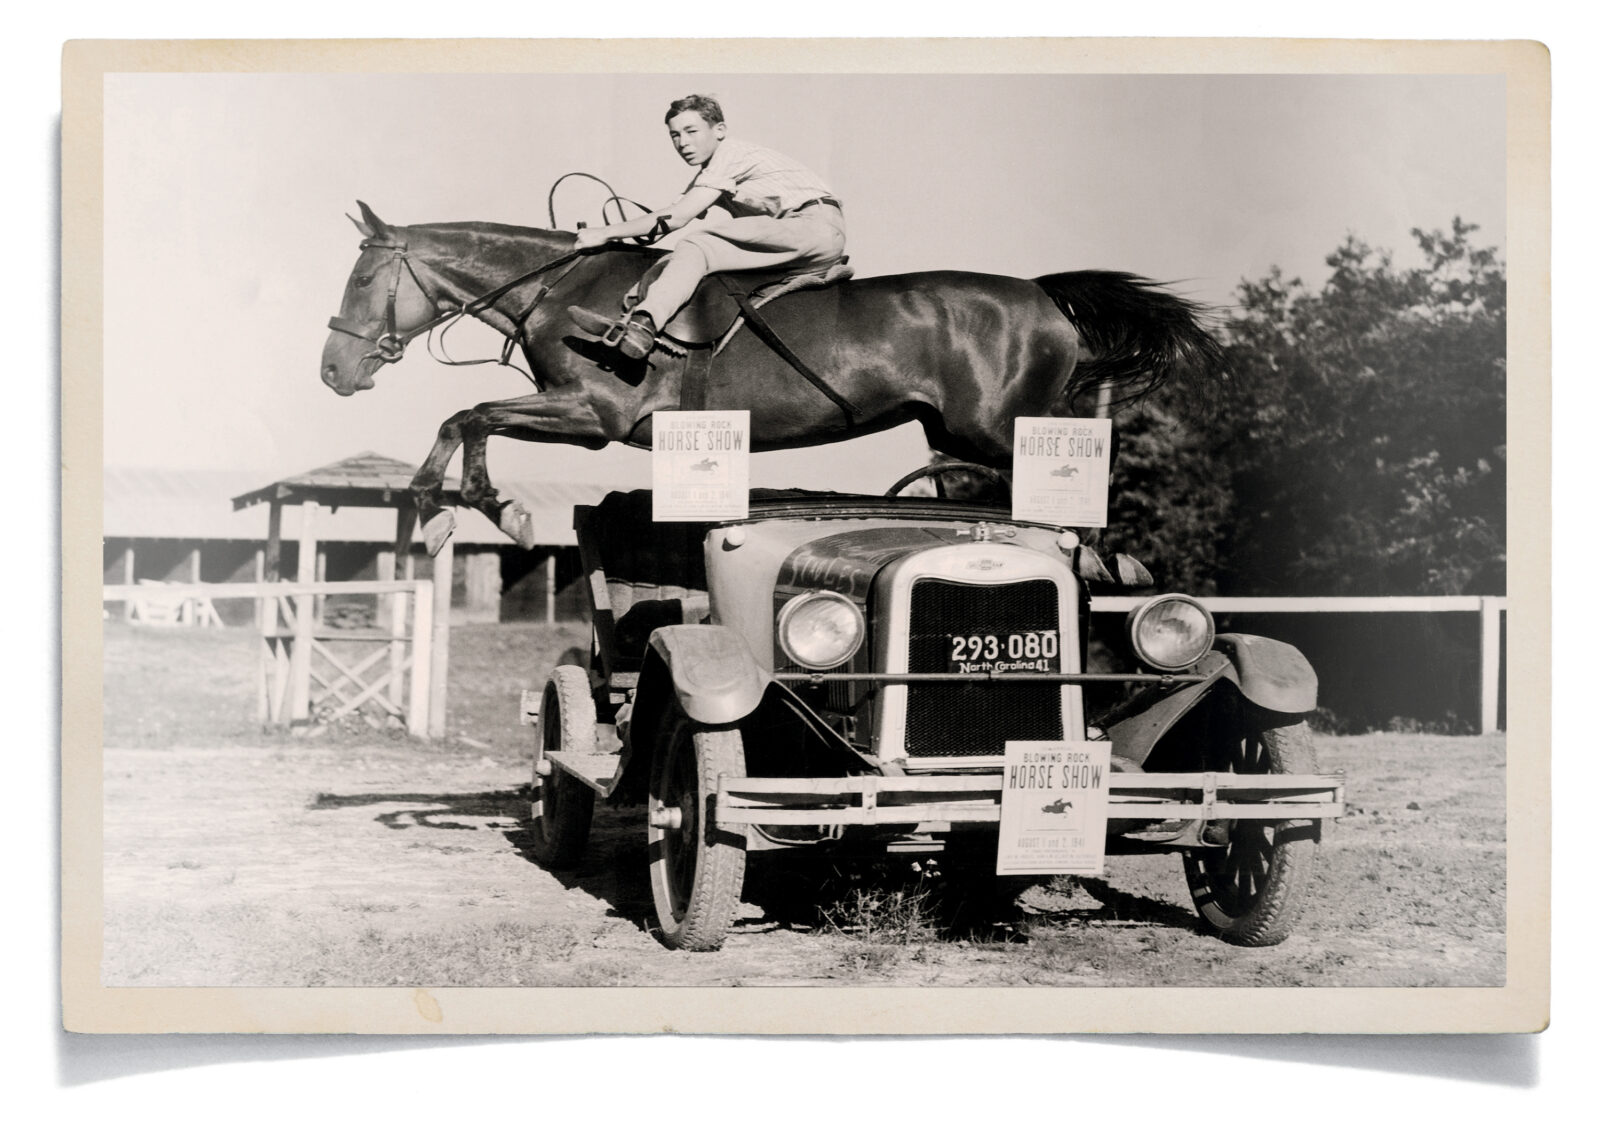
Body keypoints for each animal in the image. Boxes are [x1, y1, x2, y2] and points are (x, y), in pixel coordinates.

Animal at [320, 201, 1224, 553]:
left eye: (362, 279)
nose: (332, 372)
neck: (562, 288)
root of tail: (1042, 295)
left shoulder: (593, 415)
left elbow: (468, 415)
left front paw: (469, 507)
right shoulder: (574, 411)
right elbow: (469, 418)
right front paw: (463, 505)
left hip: (998, 427)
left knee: (1063, 472)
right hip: (956, 430)